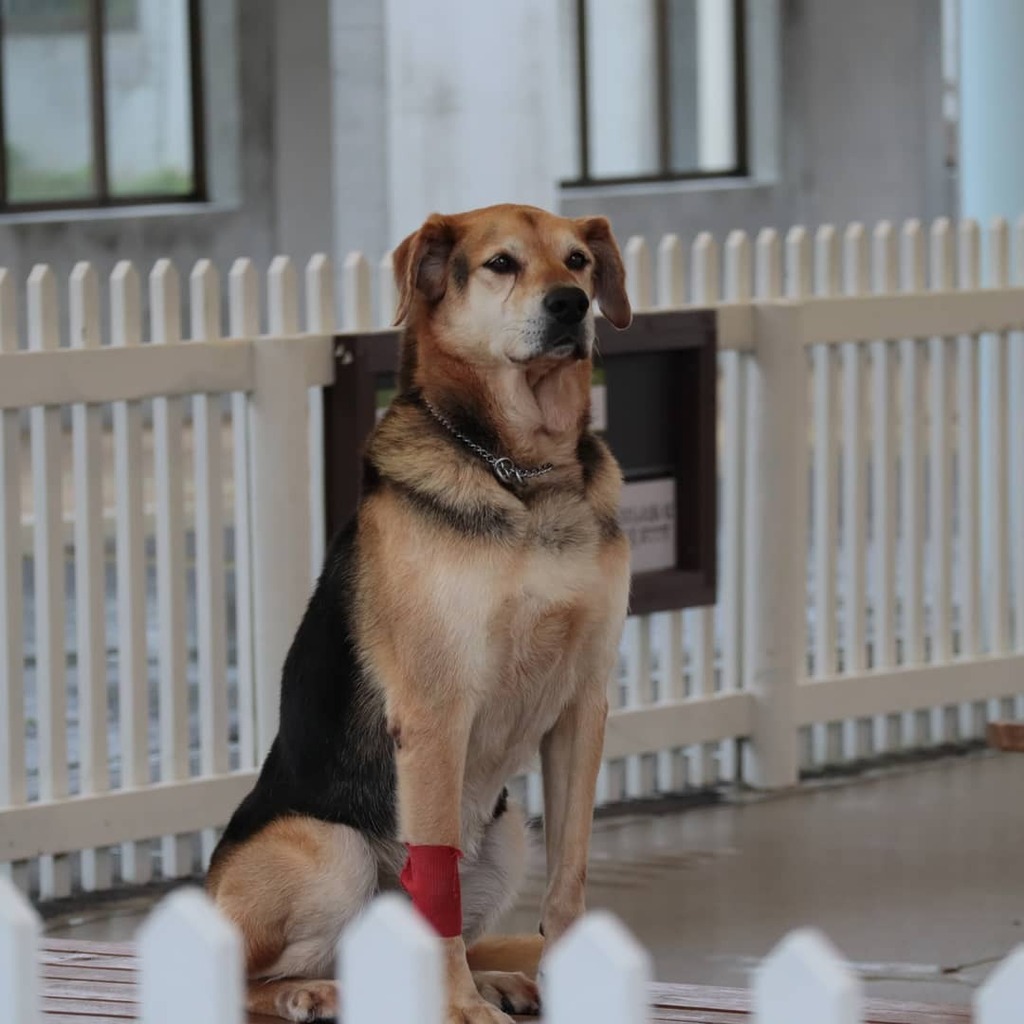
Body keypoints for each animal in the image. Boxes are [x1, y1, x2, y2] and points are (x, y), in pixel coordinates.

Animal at [203, 203, 630, 1019]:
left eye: (579, 262)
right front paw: (459, 1005)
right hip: (329, 850)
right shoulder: (436, 715)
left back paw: (496, 977)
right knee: (236, 981)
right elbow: (437, 899)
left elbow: (571, 874)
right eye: (501, 264)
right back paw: (313, 992)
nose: (572, 306)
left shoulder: (583, 708)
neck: (522, 475)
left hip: (507, 836)